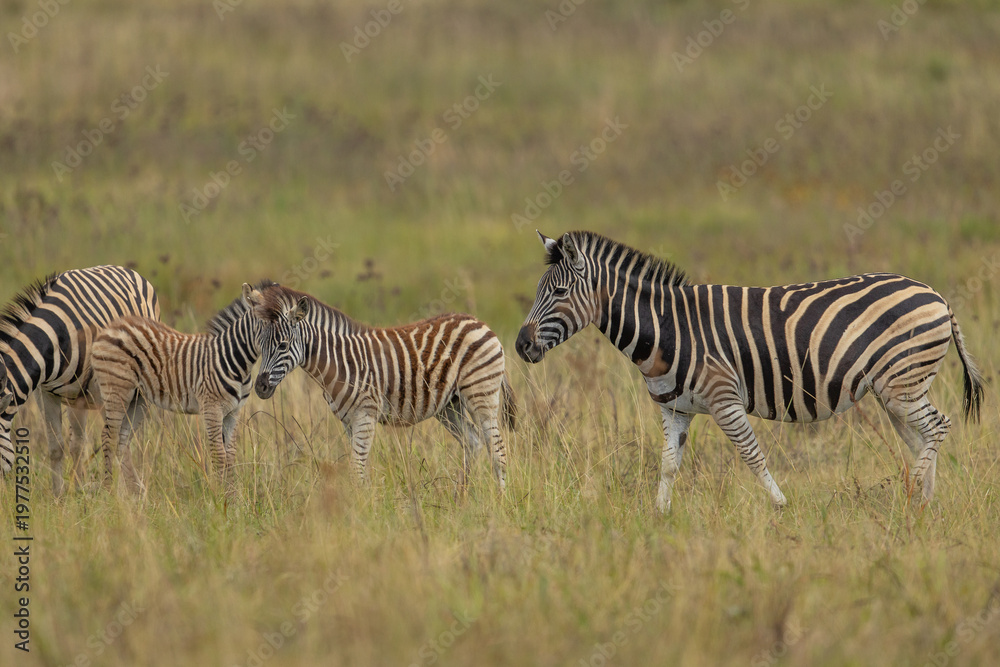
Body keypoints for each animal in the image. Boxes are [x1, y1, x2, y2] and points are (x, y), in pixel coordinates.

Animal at [0, 266, 160, 495]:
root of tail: (123, 268)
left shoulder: (104, 390)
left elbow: (110, 440)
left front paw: (114, 493)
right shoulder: (44, 394)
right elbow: (56, 446)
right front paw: (59, 496)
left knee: (120, 439)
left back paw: (132, 489)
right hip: (77, 398)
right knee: (79, 442)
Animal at [243, 282, 515, 492]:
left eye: (283, 345)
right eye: (259, 344)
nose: (261, 387)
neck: (339, 363)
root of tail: (478, 321)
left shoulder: (365, 415)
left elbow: (357, 468)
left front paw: (363, 512)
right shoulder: (348, 420)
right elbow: (359, 469)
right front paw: (361, 506)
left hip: (481, 393)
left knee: (498, 451)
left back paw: (499, 501)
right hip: (450, 405)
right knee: (473, 442)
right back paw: (462, 497)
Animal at [516, 231, 985, 512]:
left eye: (560, 292)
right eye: (538, 291)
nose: (520, 345)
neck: (666, 329)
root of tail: (936, 294)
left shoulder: (724, 399)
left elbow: (751, 455)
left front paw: (780, 507)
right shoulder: (674, 409)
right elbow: (667, 464)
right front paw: (658, 516)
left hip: (902, 383)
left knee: (938, 427)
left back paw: (911, 495)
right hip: (894, 392)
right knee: (921, 437)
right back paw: (925, 505)